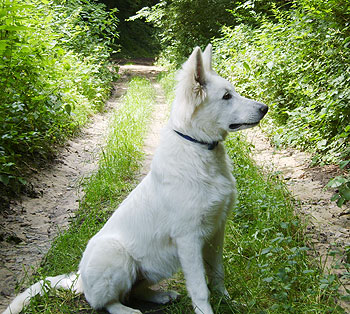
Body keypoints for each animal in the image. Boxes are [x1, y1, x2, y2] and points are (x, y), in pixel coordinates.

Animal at [4, 44, 268, 314]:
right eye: (226, 97)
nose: (265, 108)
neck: (198, 147)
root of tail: (79, 279)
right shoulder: (189, 239)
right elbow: (199, 288)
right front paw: (206, 310)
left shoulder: (216, 230)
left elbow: (217, 274)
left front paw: (227, 300)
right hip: (116, 255)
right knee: (105, 302)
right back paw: (128, 310)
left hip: (156, 264)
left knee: (135, 290)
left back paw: (161, 295)